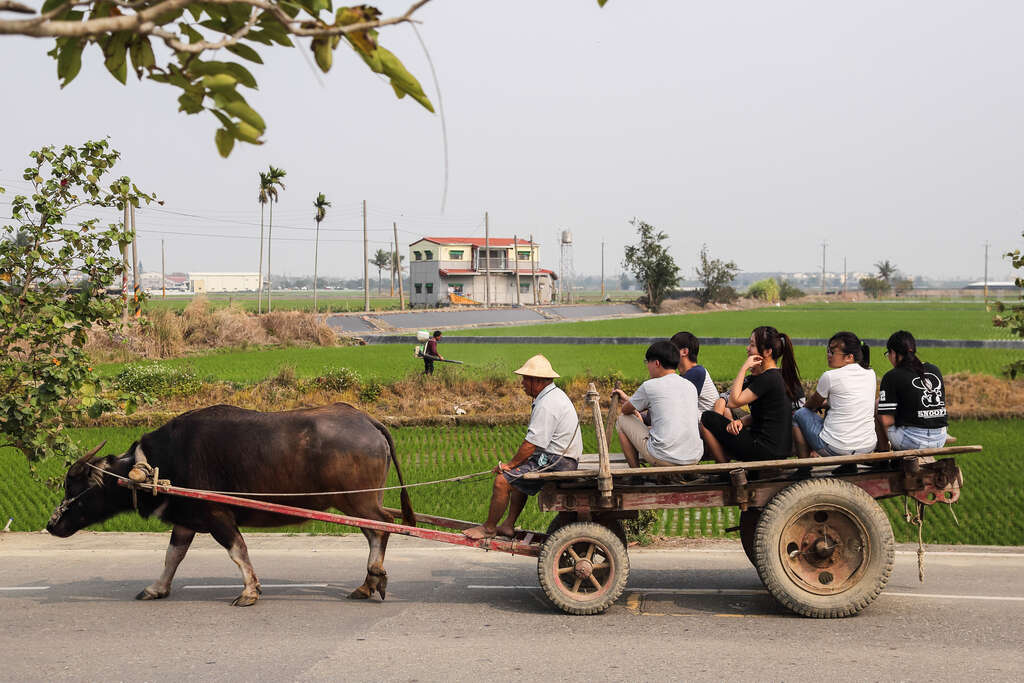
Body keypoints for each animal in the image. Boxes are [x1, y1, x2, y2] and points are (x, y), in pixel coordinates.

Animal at [47, 403, 415, 606]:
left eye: (76, 487)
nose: (52, 525)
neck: (159, 465)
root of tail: (367, 421)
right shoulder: (186, 519)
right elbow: (172, 556)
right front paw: (156, 588)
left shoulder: (217, 515)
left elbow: (238, 551)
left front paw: (250, 591)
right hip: (359, 502)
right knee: (376, 532)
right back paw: (367, 584)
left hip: (358, 500)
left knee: (381, 530)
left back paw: (371, 580)